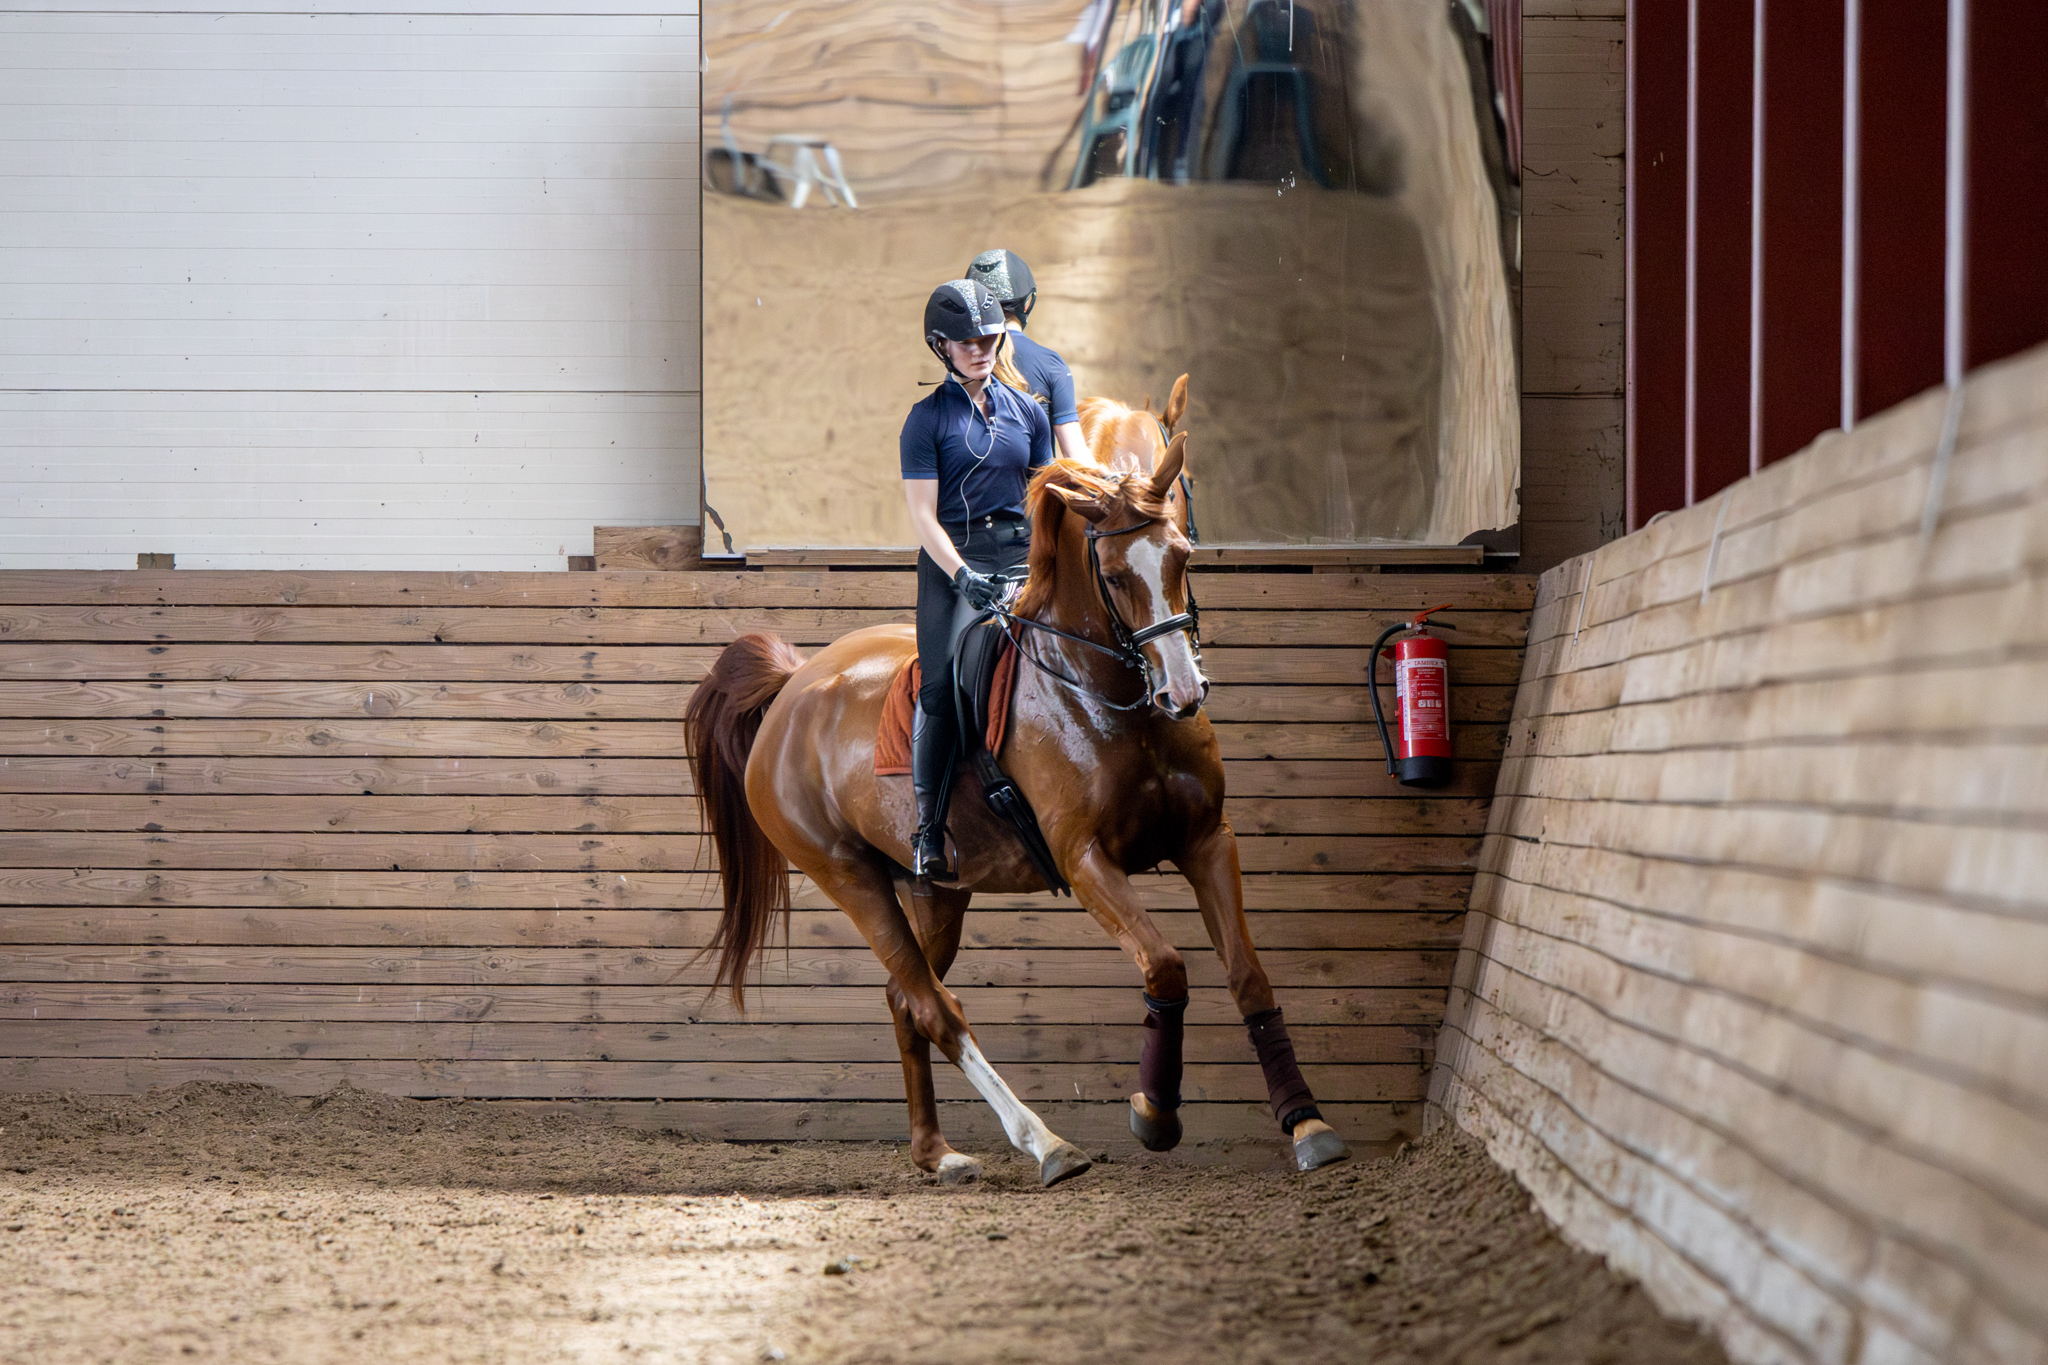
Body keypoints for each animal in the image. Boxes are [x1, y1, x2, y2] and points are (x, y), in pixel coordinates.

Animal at [688, 397, 1351, 1186]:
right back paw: (1045, 1142)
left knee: (905, 998)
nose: (1183, 694)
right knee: (935, 1007)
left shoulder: (1207, 839)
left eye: (1182, 556)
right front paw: (1154, 1113)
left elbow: (1248, 976)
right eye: (1115, 576)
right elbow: (1165, 966)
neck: (1109, 696)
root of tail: (793, 685)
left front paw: (1308, 1122)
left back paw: (937, 1151)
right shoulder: (1085, 860)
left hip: (938, 890)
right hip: (849, 876)